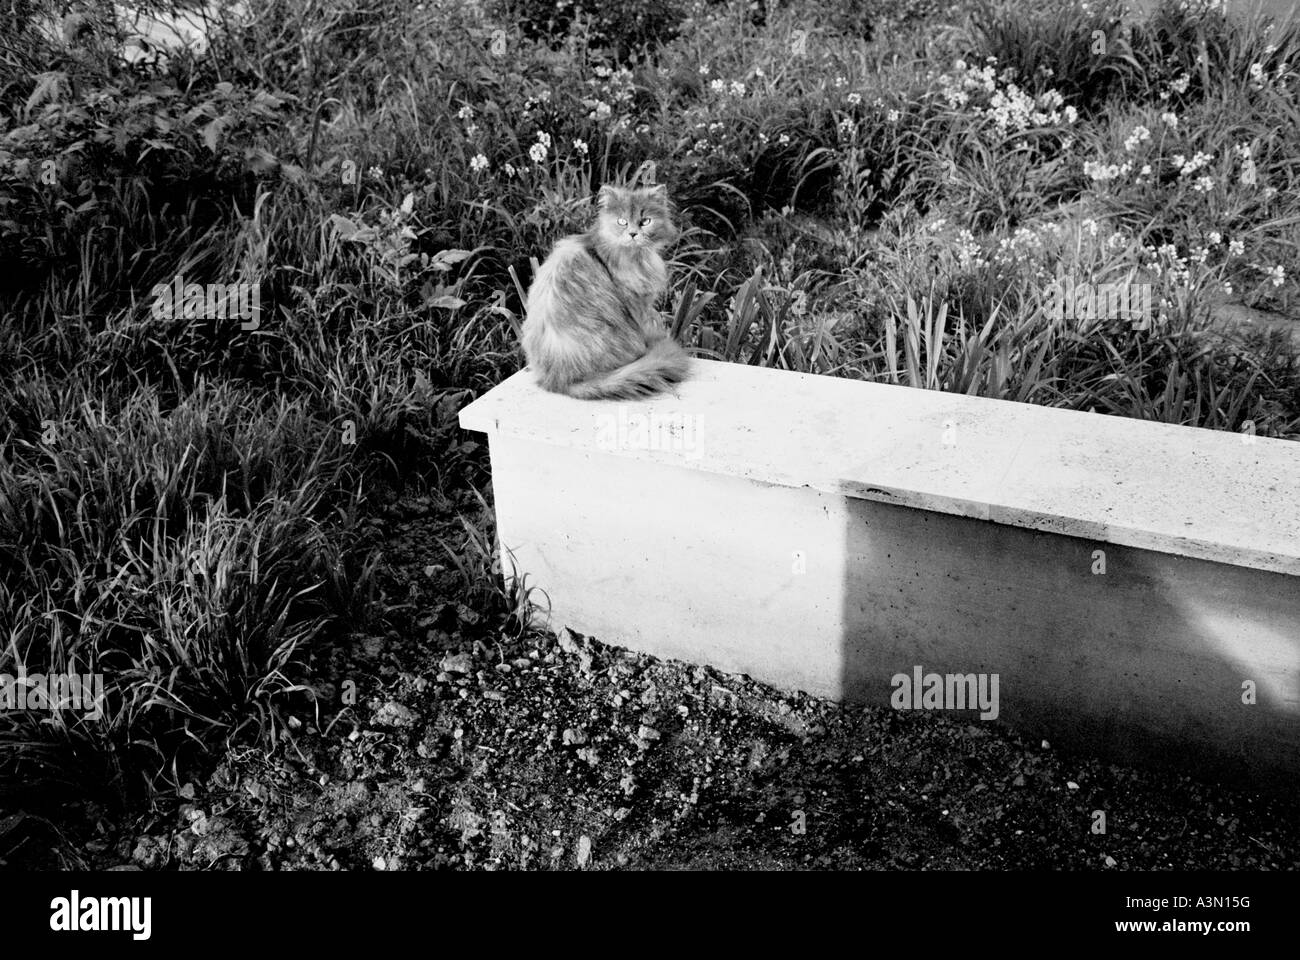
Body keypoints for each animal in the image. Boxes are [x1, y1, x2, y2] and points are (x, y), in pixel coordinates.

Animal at [520, 180, 691, 398]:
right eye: (622, 222)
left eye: (645, 221)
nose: (633, 234)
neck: (635, 256)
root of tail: (561, 382)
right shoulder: (636, 305)